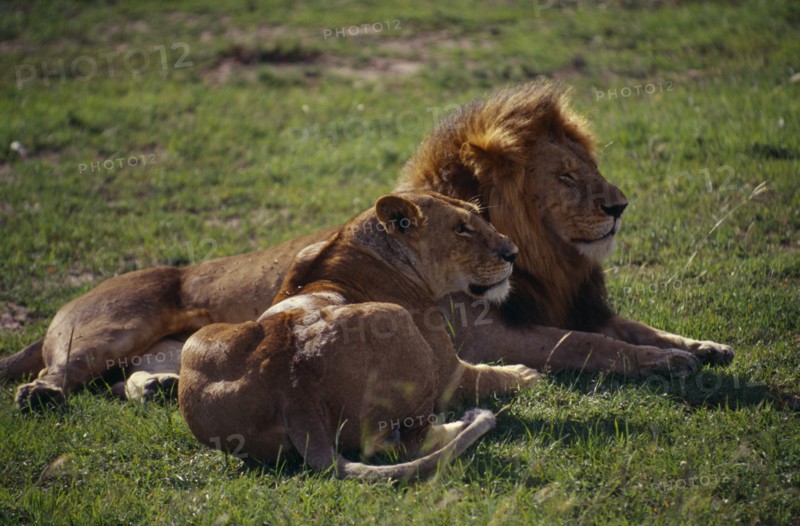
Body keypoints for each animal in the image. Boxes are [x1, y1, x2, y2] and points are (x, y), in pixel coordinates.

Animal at [1, 80, 733, 411]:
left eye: (592, 168)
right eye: (564, 177)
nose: (620, 205)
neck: (547, 261)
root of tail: (63, 310)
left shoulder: (577, 302)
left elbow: (633, 327)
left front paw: (702, 346)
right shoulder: (488, 334)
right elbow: (585, 345)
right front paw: (666, 365)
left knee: (141, 379)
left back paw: (157, 386)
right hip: (109, 332)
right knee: (59, 374)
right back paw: (41, 393)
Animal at [178, 192, 538, 480]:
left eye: (478, 218)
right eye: (461, 228)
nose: (513, 253)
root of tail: (290, 382)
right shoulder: (450, 370)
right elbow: (485, 375)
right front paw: (524, 375)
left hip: (198, 342)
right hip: (396, 319)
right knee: (409, 443)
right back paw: (467, 422)